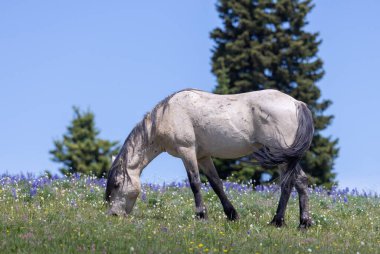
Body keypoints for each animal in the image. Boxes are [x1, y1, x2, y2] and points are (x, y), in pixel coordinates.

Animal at [104, 89, 314, 228]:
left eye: (116, 184)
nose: (113, 215)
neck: (167, 115)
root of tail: (297, 103)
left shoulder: (187, 151)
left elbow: (195, 183)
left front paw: (201, 215)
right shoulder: (203, 156)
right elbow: (216, 184)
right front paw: (232, 215)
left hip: (283, 156)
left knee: (289, 183)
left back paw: (280, 221)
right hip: (287, 157)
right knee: (300, 181)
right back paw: (301, 223)